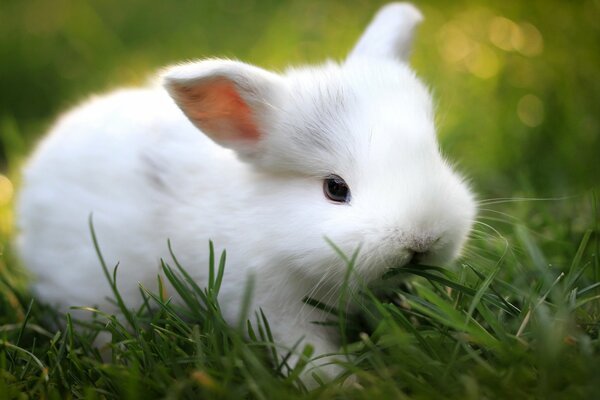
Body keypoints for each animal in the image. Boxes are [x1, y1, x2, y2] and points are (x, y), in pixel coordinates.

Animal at [17, 2, 474, 384]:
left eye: (434, 155)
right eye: (335, 188)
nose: (423, 239)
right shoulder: (272, 307)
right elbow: (306, 352)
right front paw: (341, 384)